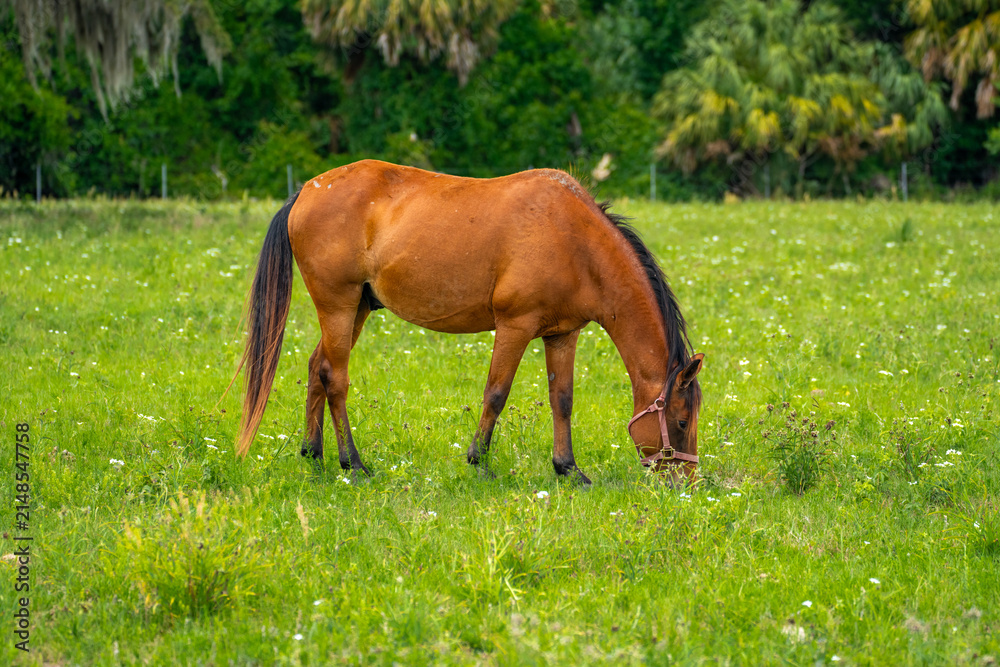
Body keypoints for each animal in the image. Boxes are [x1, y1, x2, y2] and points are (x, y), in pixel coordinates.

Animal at [234, 159, 703, 484]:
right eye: (681, 422)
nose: (685, 482)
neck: (574, 239)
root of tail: (306, 192)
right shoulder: (515, 326)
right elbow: (496, 394)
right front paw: (479, 463)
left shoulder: (562, 334)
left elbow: (563, 400)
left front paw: (568, 470)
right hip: (339, 305)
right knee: (335, 377)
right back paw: (353, 463)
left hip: (358, 310)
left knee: (317, 368)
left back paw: (314, 456)